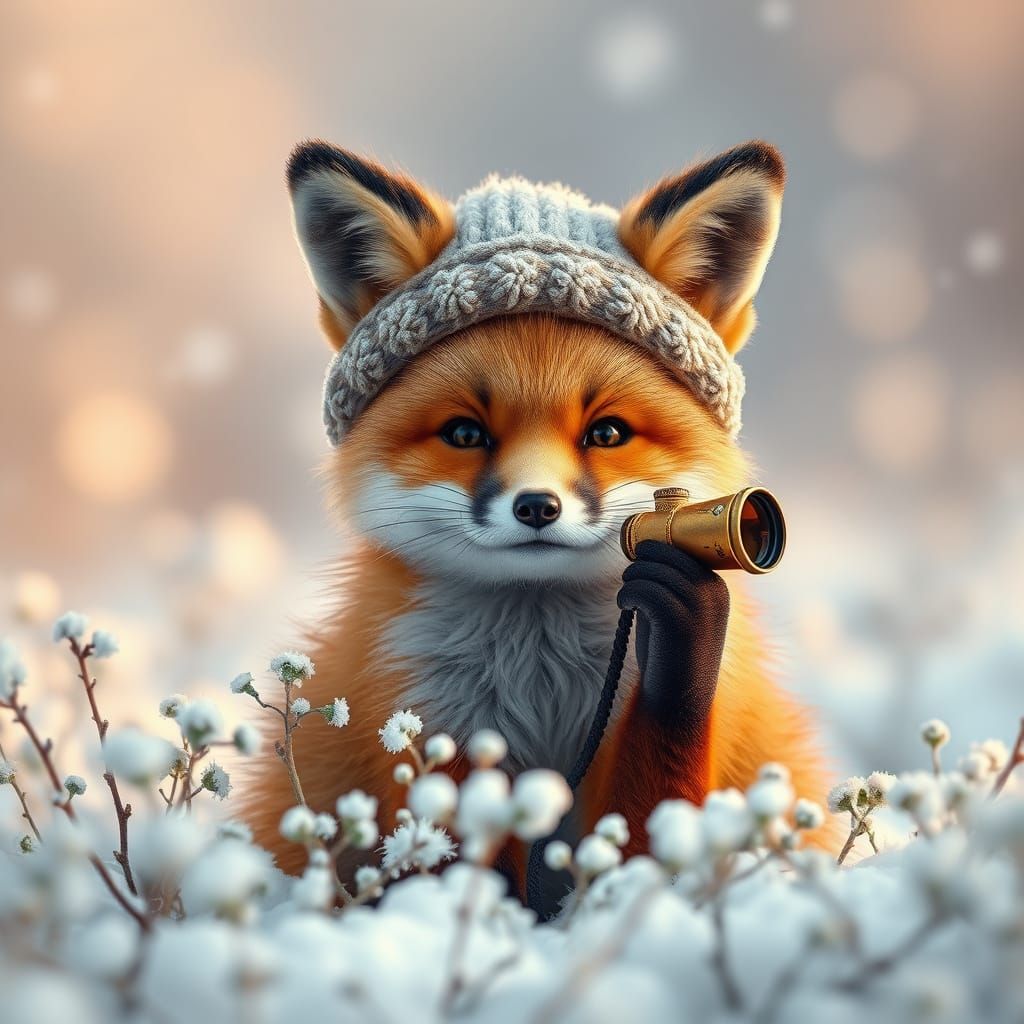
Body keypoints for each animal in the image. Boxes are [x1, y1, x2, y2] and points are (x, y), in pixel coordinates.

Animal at [244, 138, 832, 887]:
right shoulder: (432, 728)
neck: (540, 677)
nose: (536, 507)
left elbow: (650, 843)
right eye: (465, 433)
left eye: (606, 432)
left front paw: (683, 624)